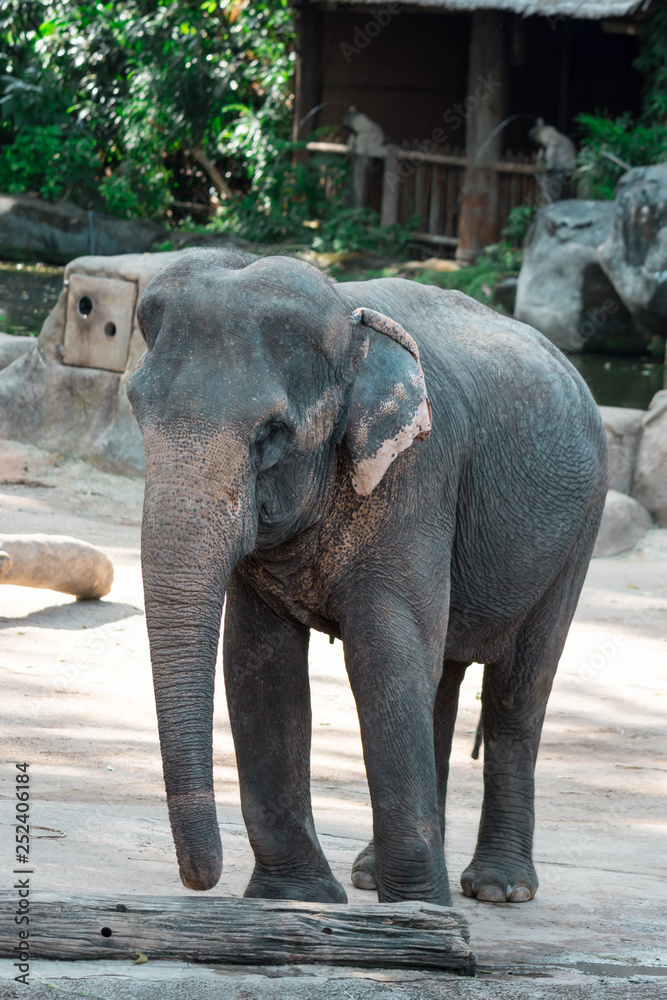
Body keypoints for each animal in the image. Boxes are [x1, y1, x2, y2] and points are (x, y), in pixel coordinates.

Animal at [127, 248, 608, 907]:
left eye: (272, 433)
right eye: (134, 408)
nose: (201, 880)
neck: (348, 318)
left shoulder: (417, 477)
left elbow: (384, 656)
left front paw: (419, 914)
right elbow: (260, 665)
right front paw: (297, 900)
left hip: (580, 528)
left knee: (518, 691)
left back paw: (496, 889)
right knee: (441, 681)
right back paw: (373, 877)